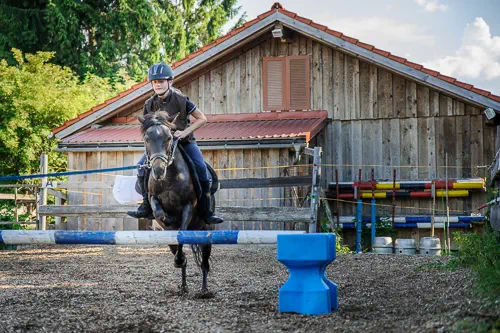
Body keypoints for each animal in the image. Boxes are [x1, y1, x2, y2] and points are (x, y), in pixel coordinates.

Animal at [137, 111, 215, 294]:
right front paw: (168, 219)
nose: (158, 170)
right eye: (147, 139)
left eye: (169, 138)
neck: (169, 177)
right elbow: (159, 212)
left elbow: (181, 232)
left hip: (206, 231)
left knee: (204, 262)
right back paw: (184, 284)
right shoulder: (153, 198)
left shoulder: (188, 206)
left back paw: (204, 289)